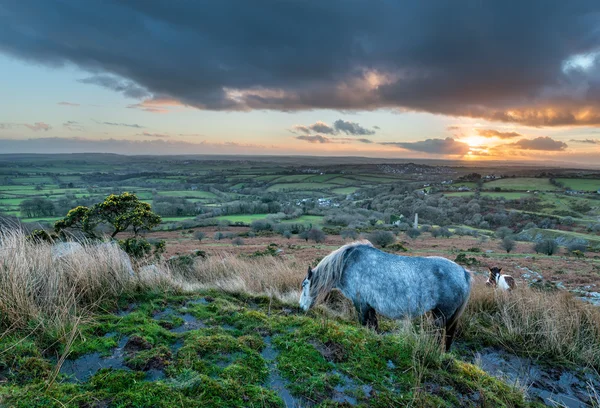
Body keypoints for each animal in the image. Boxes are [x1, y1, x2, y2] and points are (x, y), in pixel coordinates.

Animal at [300, 241, 474, 350]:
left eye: (304, 285)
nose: (301, 307)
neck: (347, 263)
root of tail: (463, 272)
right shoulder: (369, 305)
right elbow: (374, 325)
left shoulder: (360, 303)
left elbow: (364, 323)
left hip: (441, 315)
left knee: (440, 335)